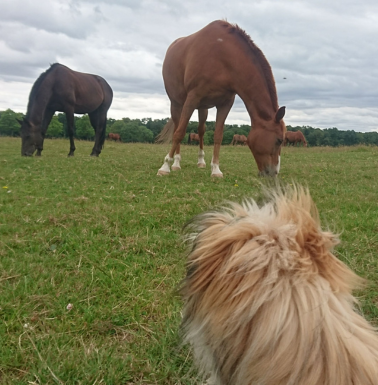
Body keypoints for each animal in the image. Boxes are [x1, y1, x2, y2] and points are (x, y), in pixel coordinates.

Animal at [156, 20, 284, 176]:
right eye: (279, 140)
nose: (274, 172)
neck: (223, 57)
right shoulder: (192, 99)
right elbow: (179, 133)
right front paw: (165, 166)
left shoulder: (225, 104)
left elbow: (218, 135)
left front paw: (216, 169)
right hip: (176, 104)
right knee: (177, 127)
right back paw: (176, 163)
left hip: (202, 108)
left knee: (201, 130)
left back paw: (201, 161)